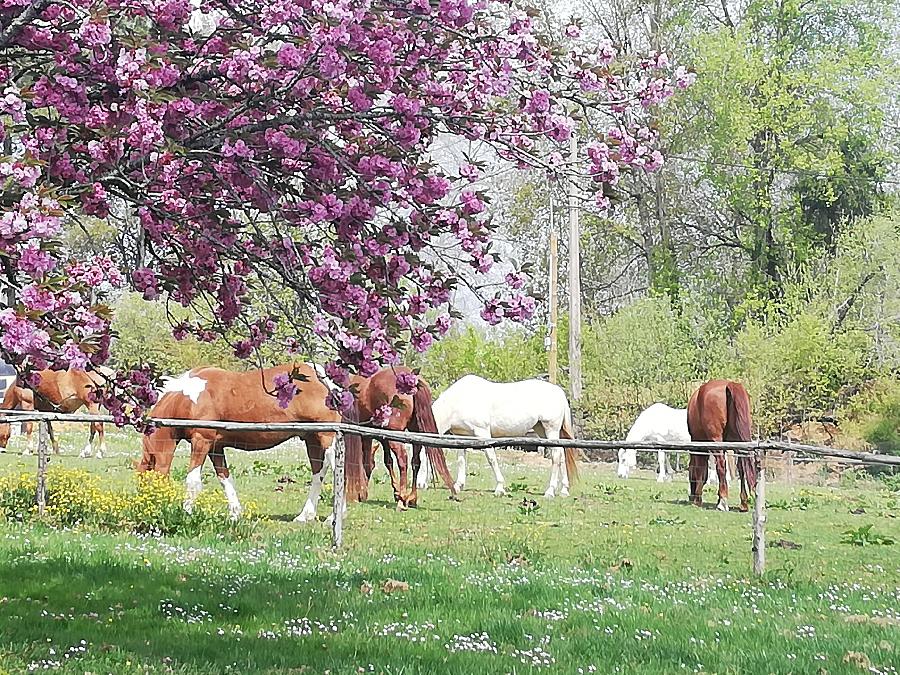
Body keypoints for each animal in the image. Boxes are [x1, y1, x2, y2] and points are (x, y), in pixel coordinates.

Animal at [141, 364, 366, 524]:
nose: (148, 511)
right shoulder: (215, 447)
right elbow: (225, 479)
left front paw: (186, 512)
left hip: (327, 437)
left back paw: (334, 516)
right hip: (312, 439)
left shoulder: (201, 441)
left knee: (339, 472)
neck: (188, 398)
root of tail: (325, 380)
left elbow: (193, 481)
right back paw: (305, 515)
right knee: (319, 472)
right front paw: (235, 513)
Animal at [344, 368, 458, 510]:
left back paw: (402, 500)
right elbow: (387, 461)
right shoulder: (384, 438)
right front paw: (396, 492)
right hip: (415, 435)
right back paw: (412, 498)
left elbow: (366, 462)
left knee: (403, 460)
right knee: (415, 462)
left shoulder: (367, 436)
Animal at [414, 378, 576, 500]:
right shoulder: (462, 436)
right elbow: (461, 459)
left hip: (551, 429)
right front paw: (458, 485)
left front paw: (500, 488)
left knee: (556, 457)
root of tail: (559, 393)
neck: (458, 401)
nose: (419, 485)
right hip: (542, 430)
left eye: (422, 459)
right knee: (561, 456)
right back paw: (564, 490)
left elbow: (491, 458)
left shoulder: (482, 433)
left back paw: (550, 491)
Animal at [684, 380, 756, 512]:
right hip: (739, 442)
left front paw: (698, 499)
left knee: (721, 465)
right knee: (741, 466)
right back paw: (743, 503)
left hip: (717, 441)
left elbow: (701, 469)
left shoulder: (700, 444)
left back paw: (723, 502)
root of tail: (729, 384)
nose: (690, 496)